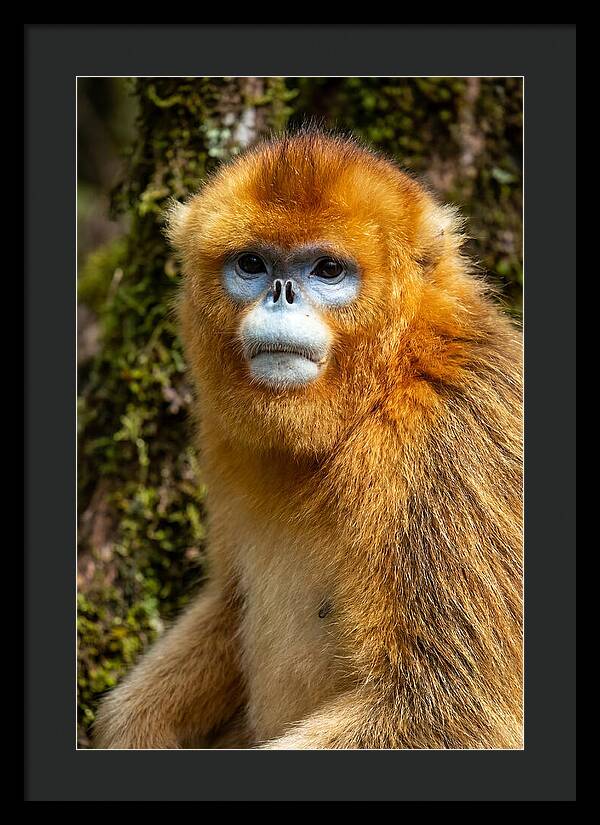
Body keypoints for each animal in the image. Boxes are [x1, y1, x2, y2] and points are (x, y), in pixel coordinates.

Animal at [94, 129, 523, 750]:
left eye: (326, 270)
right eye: (252, 263)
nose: (281, 292)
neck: (385, 386)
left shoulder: (451, 440)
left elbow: (453, 711)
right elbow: (228, 602)